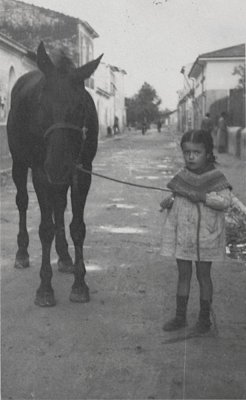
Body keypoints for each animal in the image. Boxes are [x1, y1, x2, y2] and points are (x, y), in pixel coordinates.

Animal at [6, 41, 103, 306]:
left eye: (80, 106)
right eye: (41, 104)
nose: (58, 166)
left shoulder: (82, 172)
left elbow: (77, 227)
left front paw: (79, 284)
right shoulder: (41, 173)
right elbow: (45, 228)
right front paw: (45, 288)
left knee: (59, 206)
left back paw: (64, 256)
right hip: (20, 163)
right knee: (22, 201)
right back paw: (21, 253)